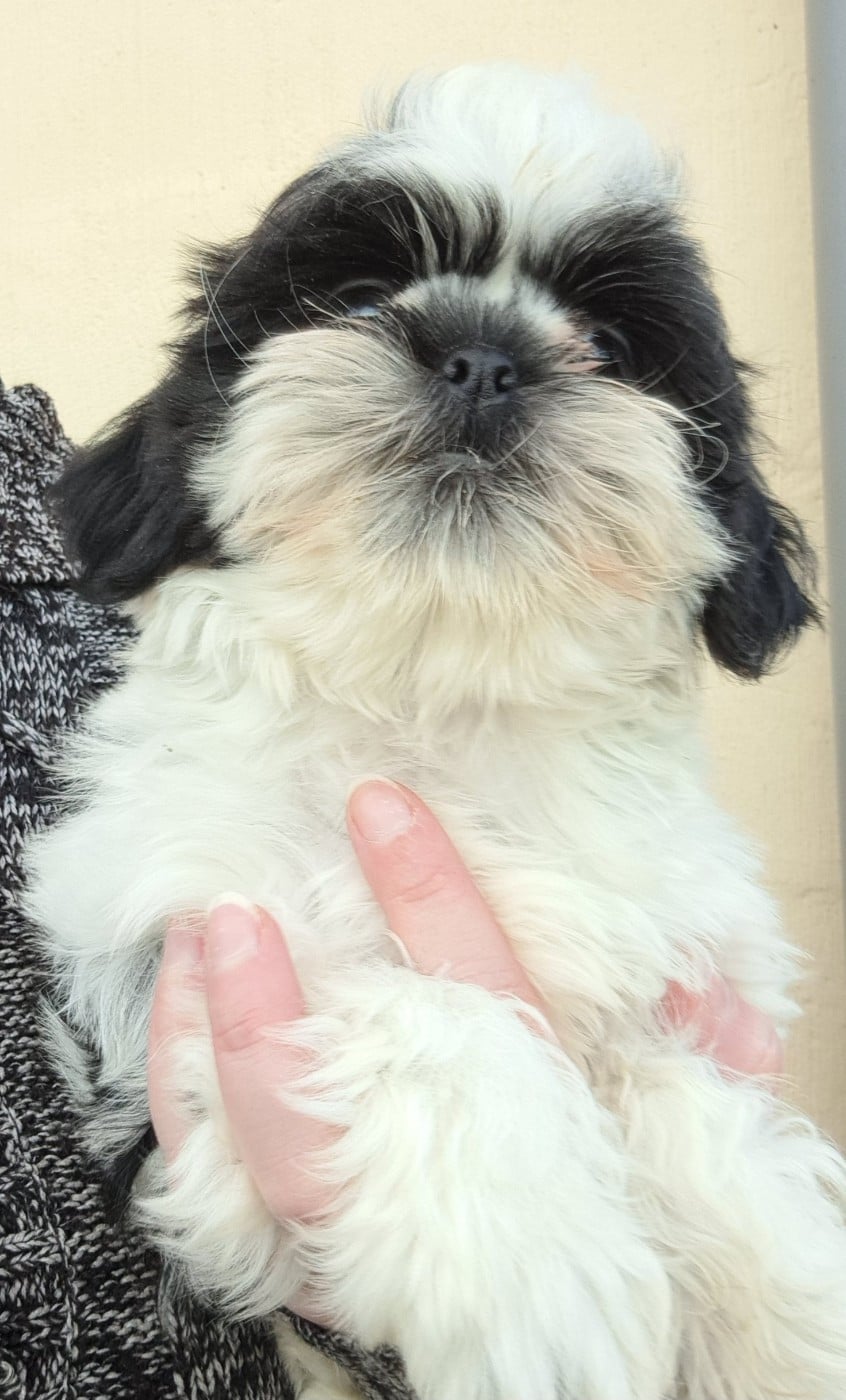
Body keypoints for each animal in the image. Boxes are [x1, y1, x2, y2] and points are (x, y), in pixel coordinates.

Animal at [24, 64, 846, 1400]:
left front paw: (789, 1292)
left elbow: (680, 1087)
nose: (482, 354)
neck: (429, 697)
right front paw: (534, 1252)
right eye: (360, 298)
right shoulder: (188, 987)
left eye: (612, 347)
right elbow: (413, 1005)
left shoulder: (677, 952)